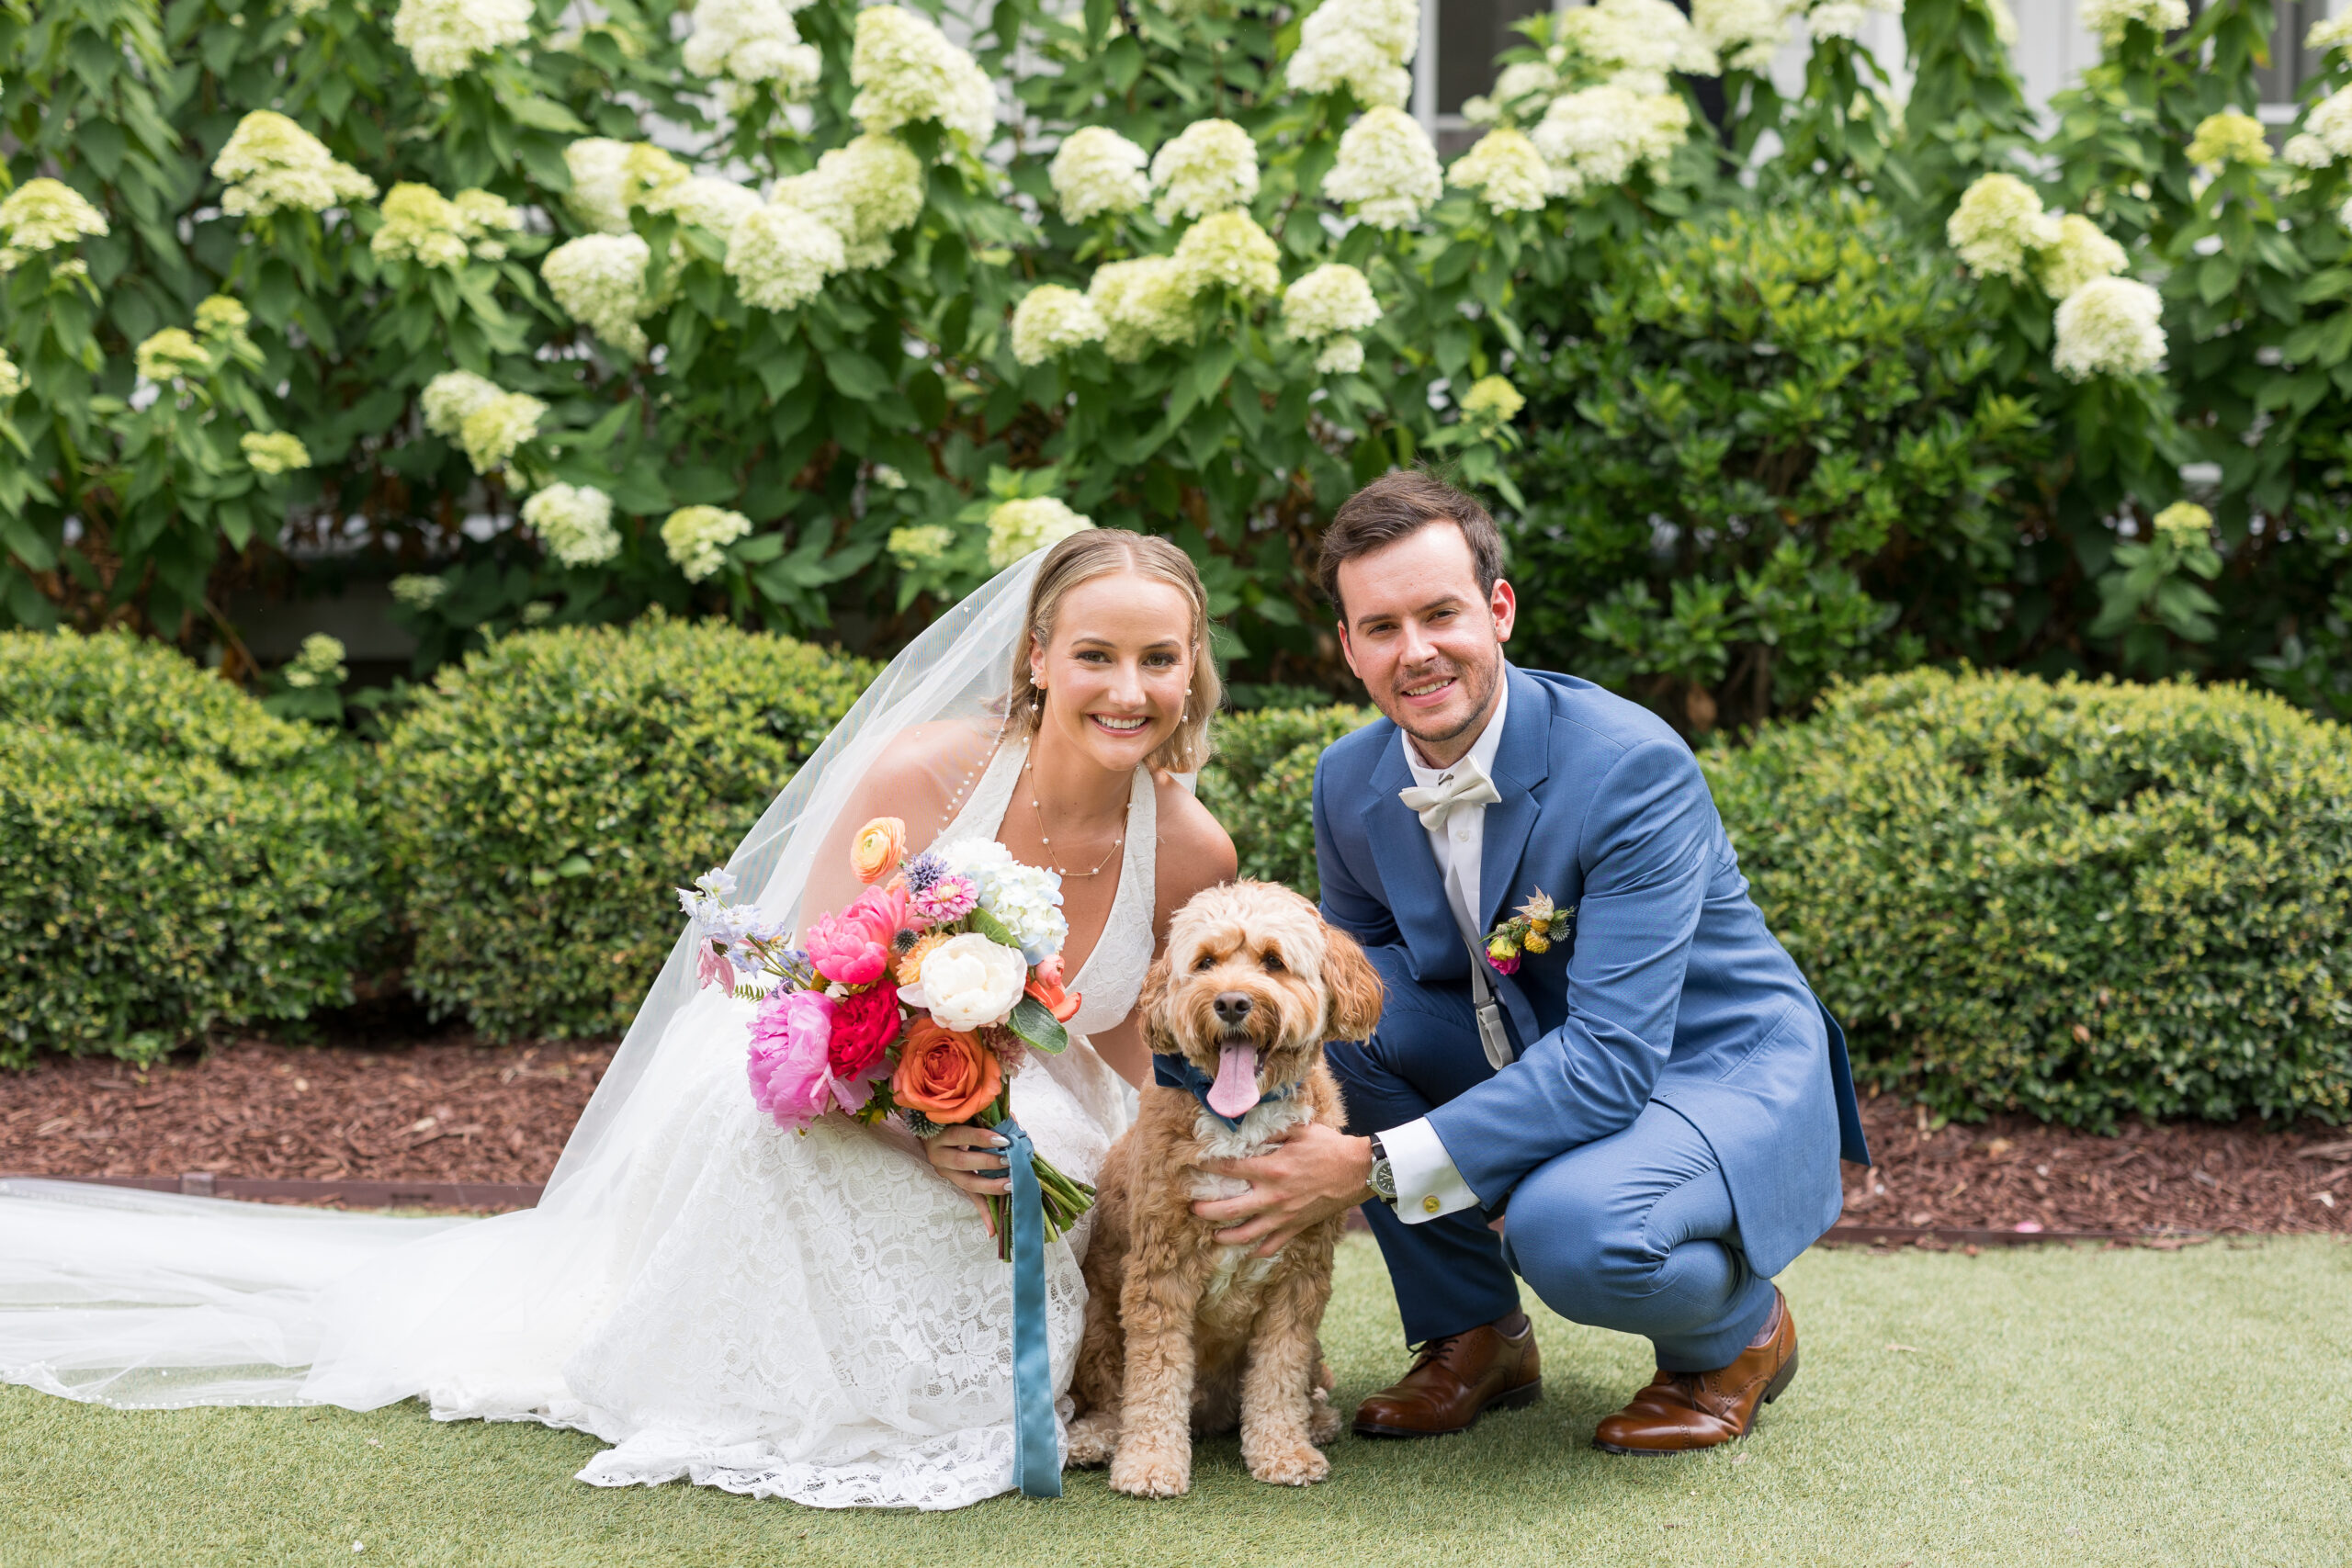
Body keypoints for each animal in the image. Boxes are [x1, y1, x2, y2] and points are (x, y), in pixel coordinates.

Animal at [1068, 884, 1374, 1495]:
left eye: (1274, 961)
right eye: (1206, 962)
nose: (1232, 1003)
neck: (1241, 1122)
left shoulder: (1300, 1276)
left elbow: (1279, 1371)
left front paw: (1283, 1451)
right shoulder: (1159, 1270)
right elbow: (1155, 1376)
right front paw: (1150, 1463)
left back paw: (1316, 1418)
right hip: (1098, 1326)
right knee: (1113, 1393)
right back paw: (1096, 1438)